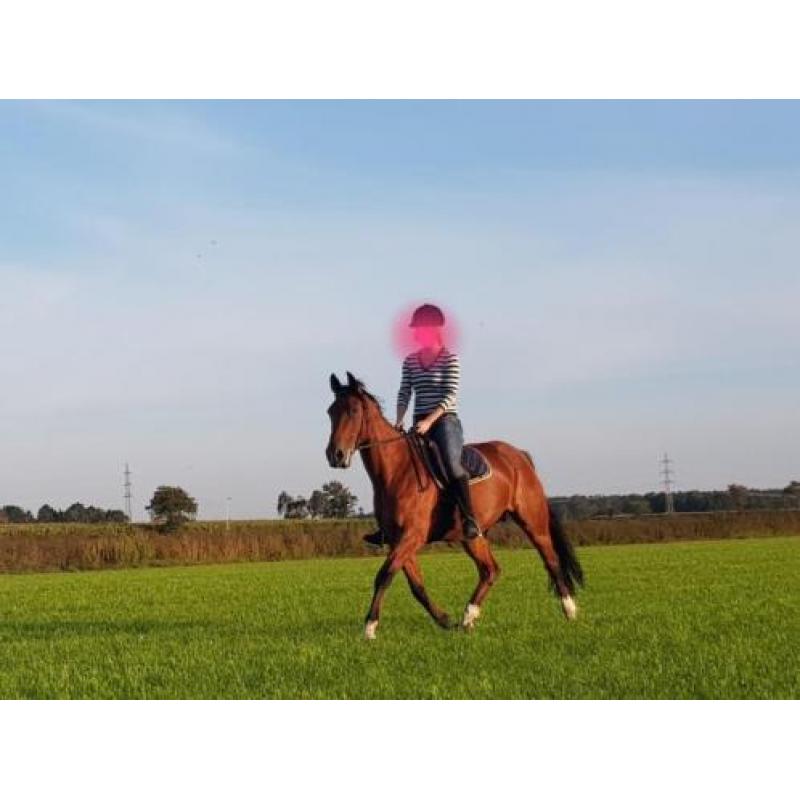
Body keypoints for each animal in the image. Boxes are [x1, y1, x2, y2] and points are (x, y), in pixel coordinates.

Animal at [325, 371, 583, 640]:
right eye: (331, 411)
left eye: (353, 411)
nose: (335, 455)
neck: (397, 470)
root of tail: (519, 456)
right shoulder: (398, 540)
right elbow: (416, 585)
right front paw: (445, 620)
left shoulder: (412, 536)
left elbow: (384, 575)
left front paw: (370, 627)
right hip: (473, 535)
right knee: (490, 570)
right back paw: (468, 617)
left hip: (533, 522)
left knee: (551, 561)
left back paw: (569, 610)